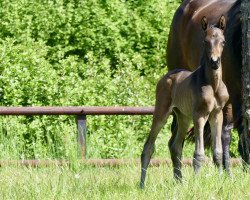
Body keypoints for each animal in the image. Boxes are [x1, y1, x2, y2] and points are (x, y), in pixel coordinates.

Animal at [141, 16, 229, 189]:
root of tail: (166, 76)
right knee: (149, 146)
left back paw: (179, 181)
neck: (213, 84)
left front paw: (222, 181)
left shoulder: (217, 114)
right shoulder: (200, 115)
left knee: (175, 146)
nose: (215, 62)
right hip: (162, 112)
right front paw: (196, 184)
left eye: (222, 41)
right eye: (205, 41)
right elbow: (199, 154)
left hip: (183, 117)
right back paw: (142, 184)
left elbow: (217, 152)